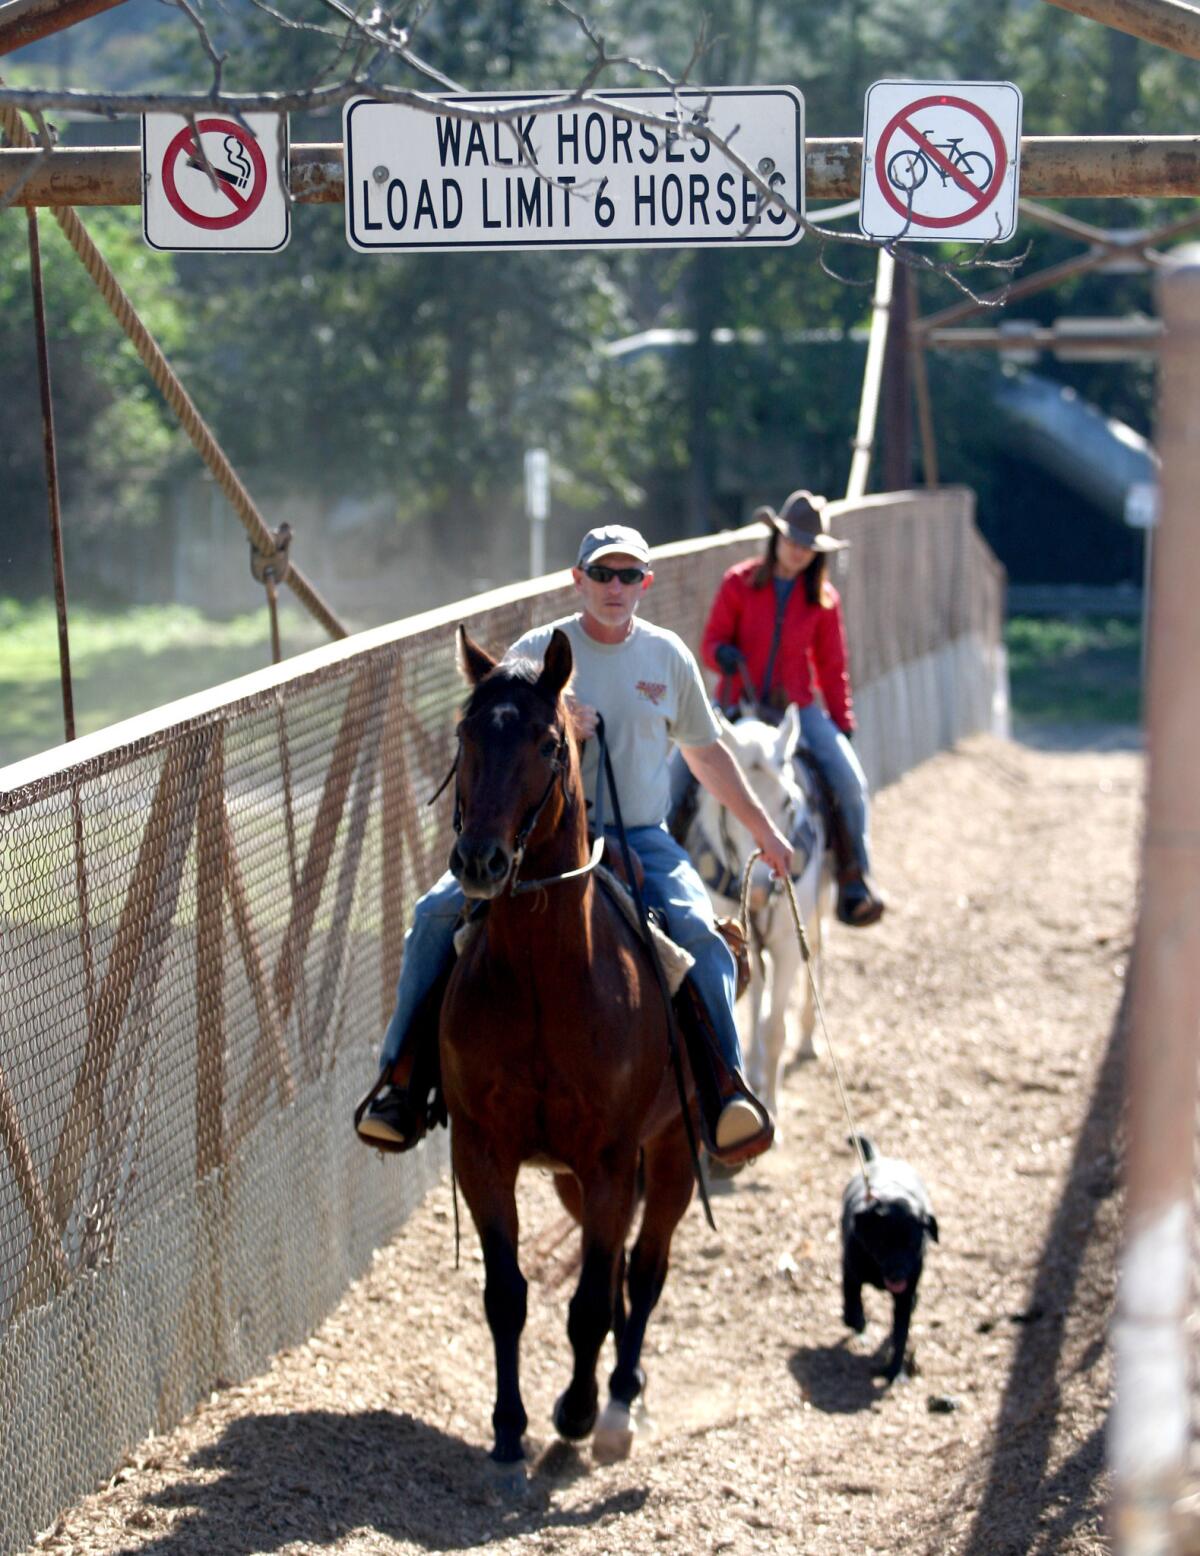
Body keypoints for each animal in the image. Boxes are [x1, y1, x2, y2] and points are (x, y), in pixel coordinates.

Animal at [442, 625, 694, 1475]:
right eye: (465, 735)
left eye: (549, 744)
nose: (480, 861)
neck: (546, 984)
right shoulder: (484, 1150)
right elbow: (507, 1294)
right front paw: (507, 1426)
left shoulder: (613, 1156)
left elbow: (590, 1304)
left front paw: (580, 1411)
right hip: (569, 1180)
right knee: (614, 1274)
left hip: (673, 1154)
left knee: (643, 1273)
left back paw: (618, 1403)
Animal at [681, 709, 828, 1132]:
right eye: (730, 805)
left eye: (787, 802)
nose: (761, 888)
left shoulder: (786, 944)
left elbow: (776, 1028)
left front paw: (774, 1110)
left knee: (817, 953)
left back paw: (807, 1040)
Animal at [846, 1138, 940, 1381]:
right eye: (882, 1244)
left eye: (913, 1244)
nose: (898, 1274)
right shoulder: (850, 1267)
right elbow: (851, 1297)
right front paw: (856, 1321)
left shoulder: (904, 1297)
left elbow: (900, 1334)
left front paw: (894, 1371)